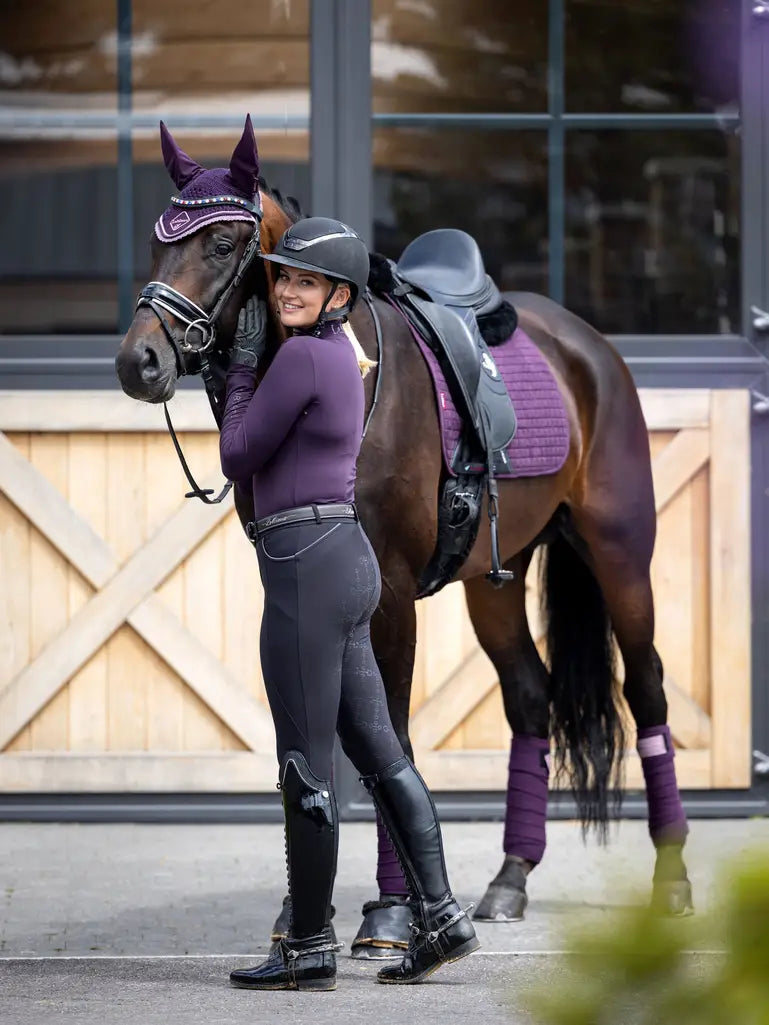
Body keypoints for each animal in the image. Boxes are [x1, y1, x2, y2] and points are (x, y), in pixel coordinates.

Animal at [115, 117, 694, 955]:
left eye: (222, 243)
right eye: (158, 241)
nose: (139, 360)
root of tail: (588, 346)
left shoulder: (387, 590)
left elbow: (389, 737)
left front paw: (391, 912)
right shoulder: (304, 586)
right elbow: (328, 731)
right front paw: (307, 913)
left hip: (619, 556)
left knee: (644, 689)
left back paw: (671, 879)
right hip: (497, 581)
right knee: (529, 697)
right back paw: (509, 878)